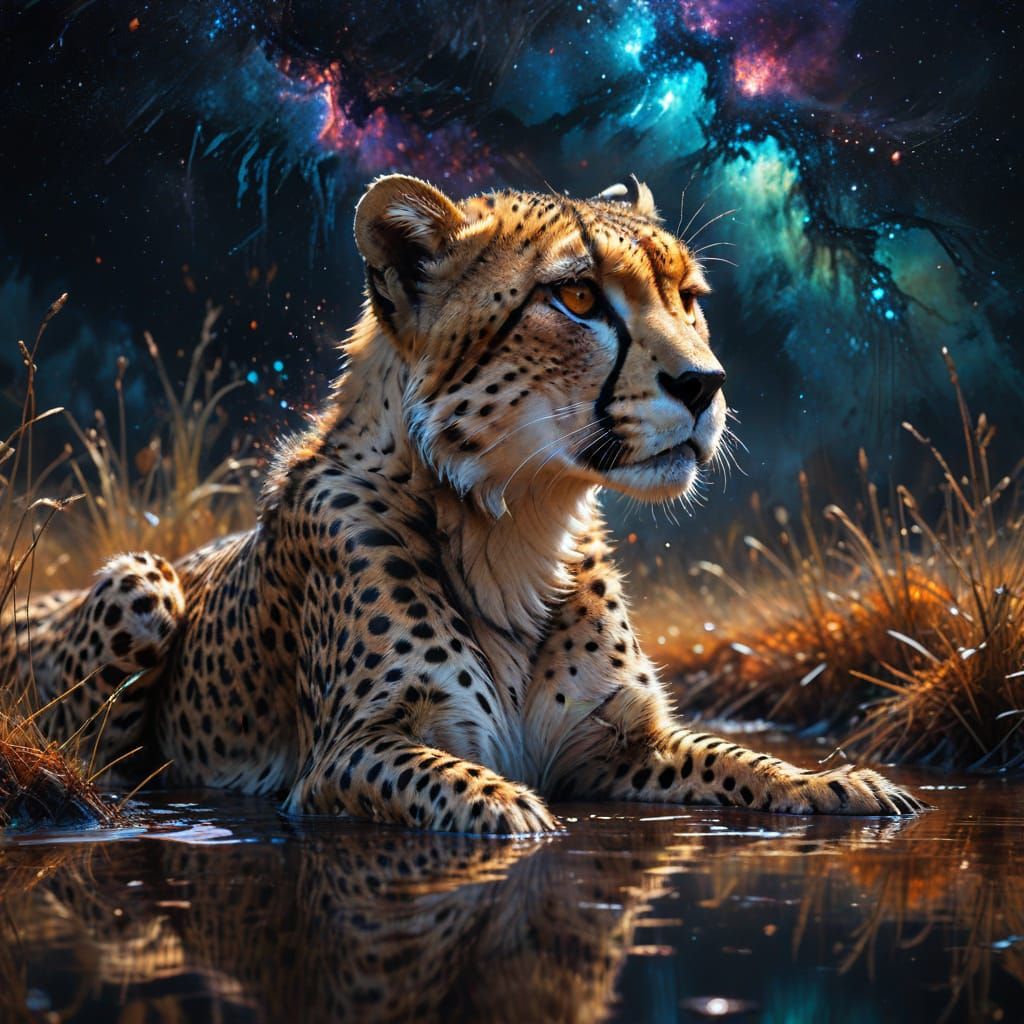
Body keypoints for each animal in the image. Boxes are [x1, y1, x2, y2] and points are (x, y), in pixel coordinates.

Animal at [1, 173, 929, 833]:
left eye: (688, 298)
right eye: (579, 296)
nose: (706, 384)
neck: (519, 521)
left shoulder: (619, 747)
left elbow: (736, 758)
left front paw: (831, 779)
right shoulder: (345, 756)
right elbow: (447, 779)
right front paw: (507, 806)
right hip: (141, 577)